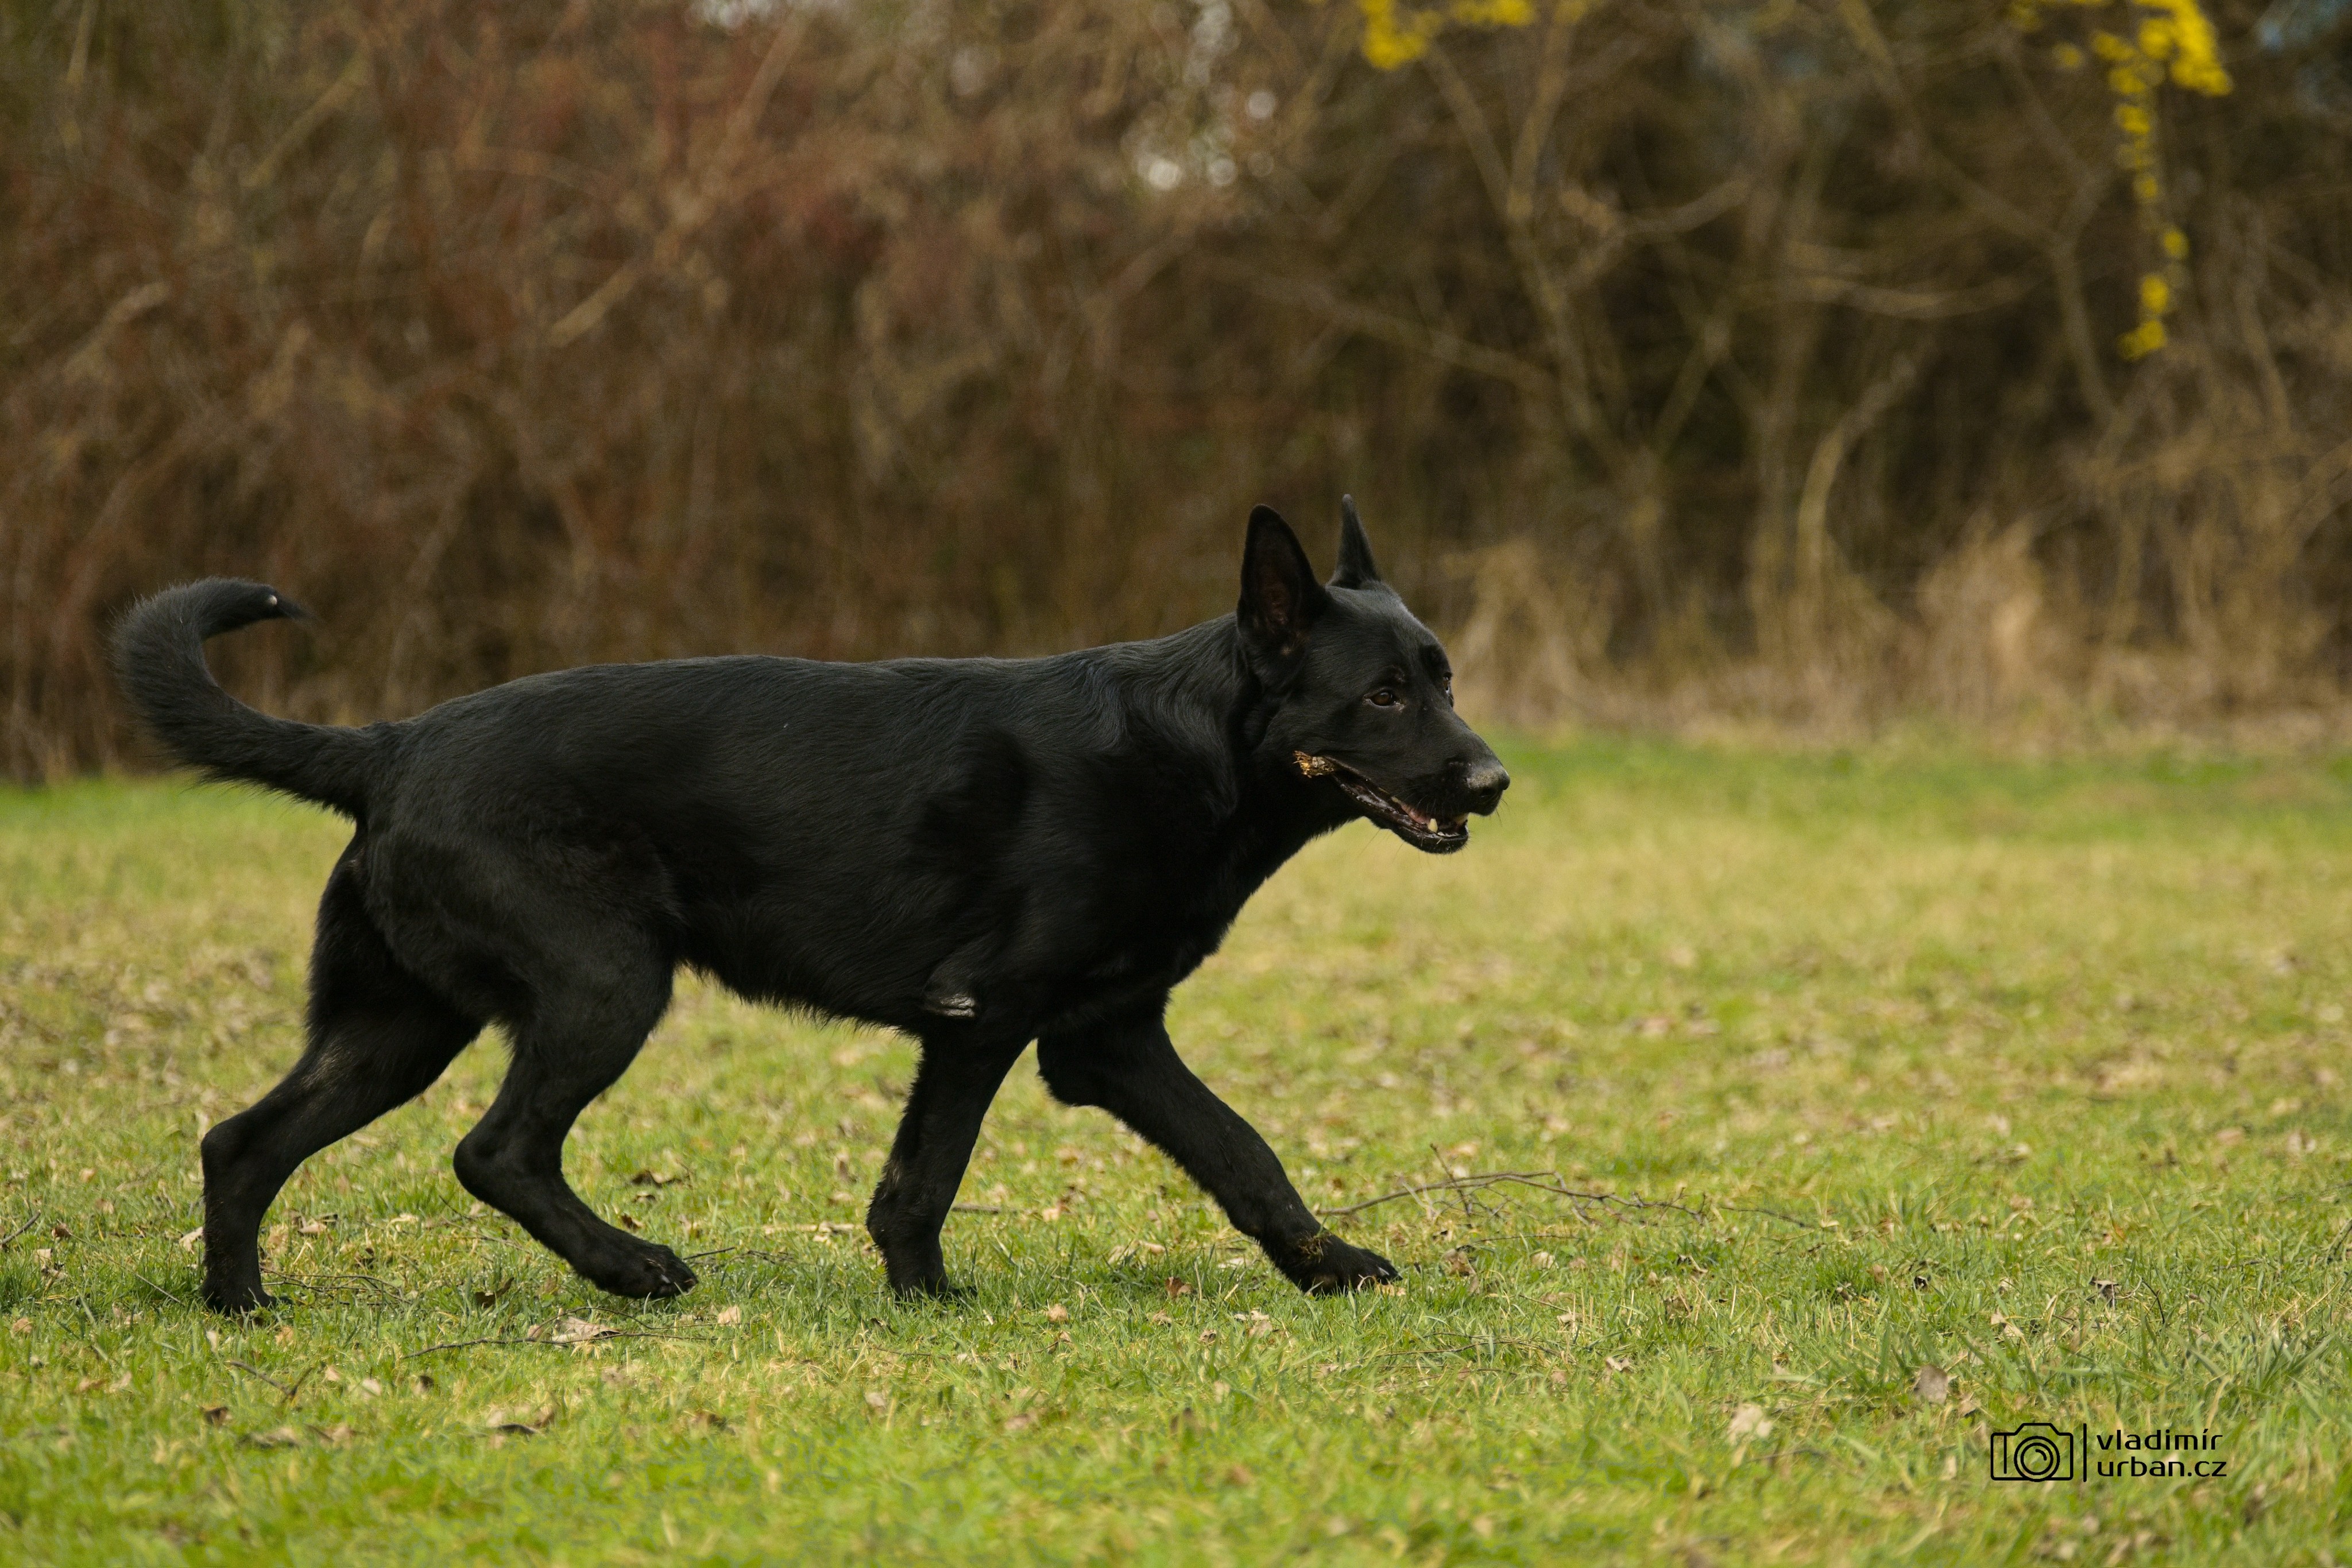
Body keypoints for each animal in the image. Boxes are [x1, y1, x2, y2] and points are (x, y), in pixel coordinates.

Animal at [114, 500, 1508, 1313]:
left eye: (1444, 679)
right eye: (1384, 694)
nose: (1494, 782)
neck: (1191, 748)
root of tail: (389, 746)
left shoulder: (1106, 1038)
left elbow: (1243, 1153)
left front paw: (1328, 1268)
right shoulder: (987, 1019)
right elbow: (925, 1177)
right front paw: (926, 1300)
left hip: (398, 1027)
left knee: (241, 1143)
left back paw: (240, 1307)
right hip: (602, 989)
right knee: (493, 1151)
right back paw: (633, 1269)